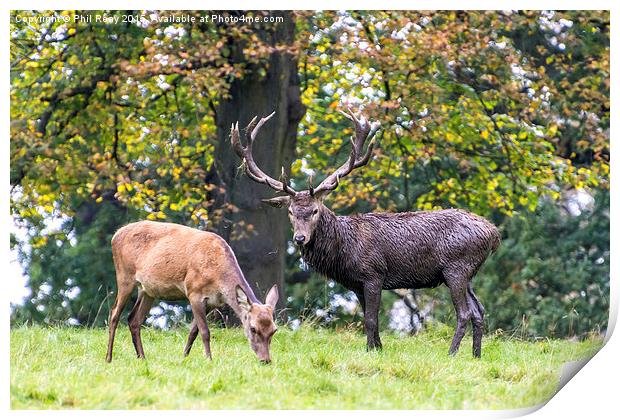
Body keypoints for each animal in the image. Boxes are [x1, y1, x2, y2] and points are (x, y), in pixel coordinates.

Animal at [106, 221, 278, 362]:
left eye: (274, 330)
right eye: (253, 328)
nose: (266, 360)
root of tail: (115, 235)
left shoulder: (212, 302)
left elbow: (193, 332)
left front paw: (184, 358)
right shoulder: (194, 293)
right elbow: (204, 331)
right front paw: (209, 359)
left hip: (148, 290)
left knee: (134, 319)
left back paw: (142, 357)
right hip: (124, 276)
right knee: (114, 314)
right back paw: (109, 357)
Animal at [231, 109, 498, 358]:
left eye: (315, 210)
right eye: (290, 211)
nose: (300, 238)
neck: (344, 253)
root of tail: (493, 234)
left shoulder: (374, 274)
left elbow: (370, 319)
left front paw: (372, 350)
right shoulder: (356, 284)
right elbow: (370, 319)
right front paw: (376, 348)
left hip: (456, 267)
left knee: (464, 312)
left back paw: (452, 353)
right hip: (467, 273)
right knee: (479, 311)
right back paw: (476, 355)